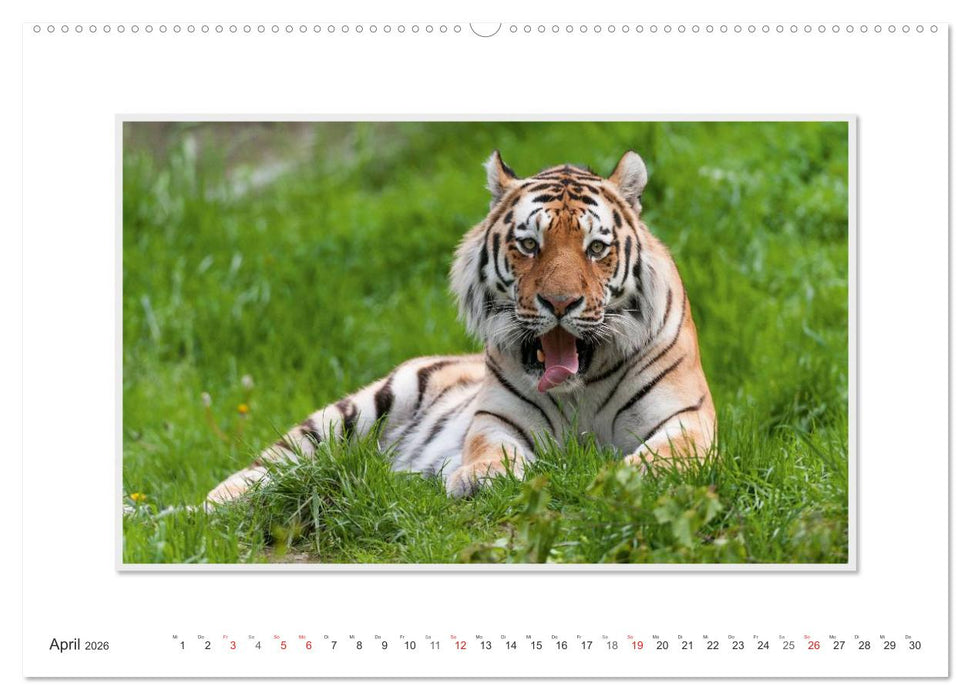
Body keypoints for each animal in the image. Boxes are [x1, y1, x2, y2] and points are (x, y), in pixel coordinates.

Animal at [207, 150, 715, 503]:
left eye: (595, 248)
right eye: (529, 245)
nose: (559, 303)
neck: (579, 388)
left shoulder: (687, 418)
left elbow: (669, 453)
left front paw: (633, 474)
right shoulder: (498, 418)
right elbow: (491, 448)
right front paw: (482, 477)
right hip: (353, 411)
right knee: (261, 472)